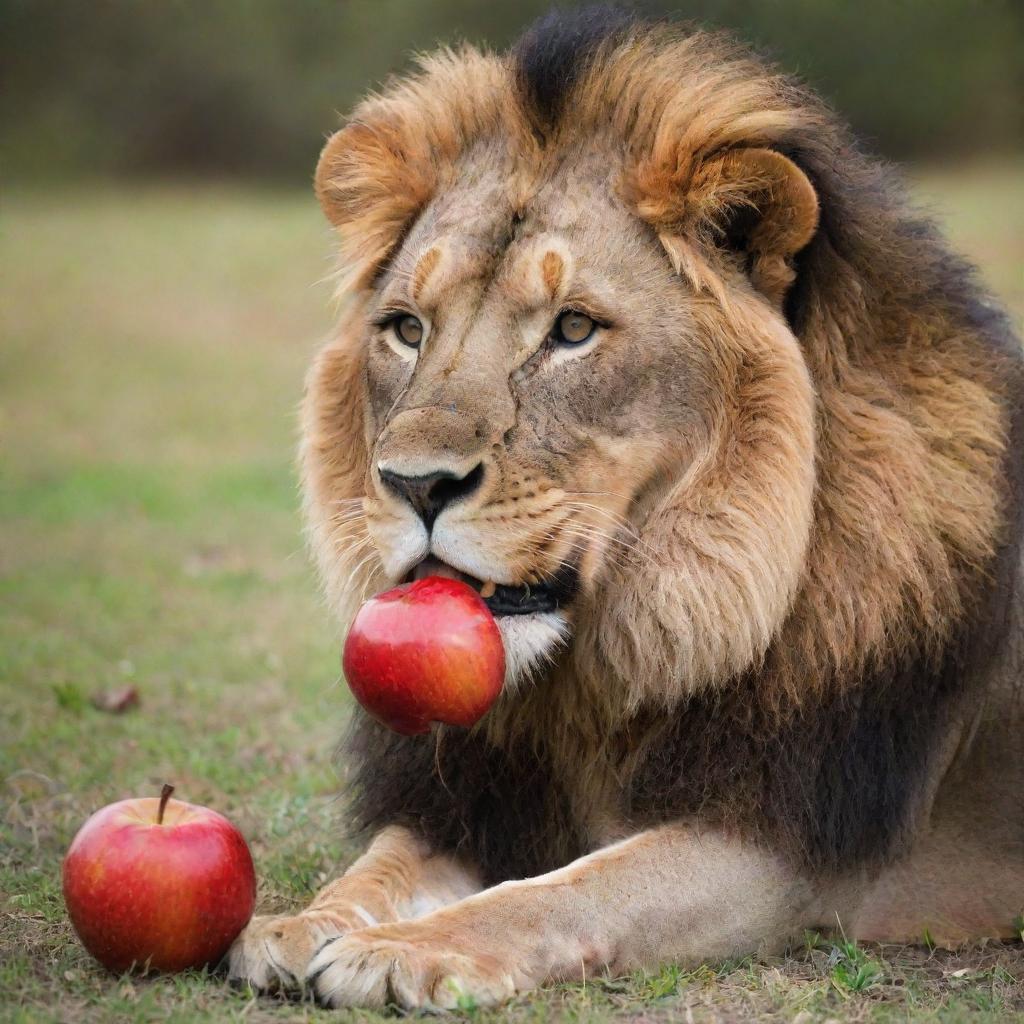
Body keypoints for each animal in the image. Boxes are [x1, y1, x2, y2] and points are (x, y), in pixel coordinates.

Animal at [226, 8, 1024, 1011]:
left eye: (573, 329)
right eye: (407, 328)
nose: (414, 484)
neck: (599, 674)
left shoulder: (782, 846)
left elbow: (568, 890)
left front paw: (406, 950)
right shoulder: (475, 801)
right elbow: (384, 862)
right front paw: (299, 924)